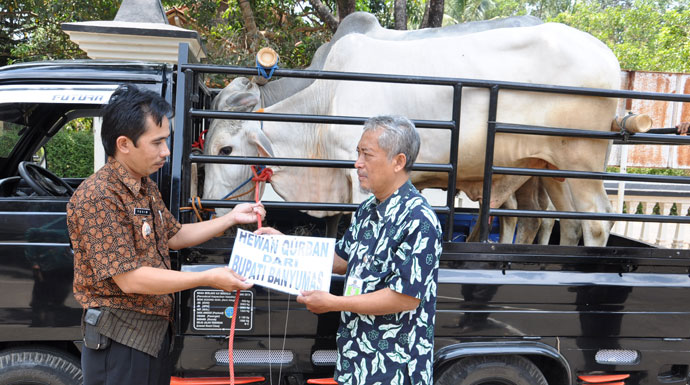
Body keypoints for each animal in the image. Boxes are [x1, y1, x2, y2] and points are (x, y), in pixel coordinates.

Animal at [204, 24, 620, 244]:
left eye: (226, 149)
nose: (207, 205)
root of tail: (609, 58)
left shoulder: (358, 173)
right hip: (551, 168)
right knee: (561, 221)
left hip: (581, 162)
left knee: (597, 220)